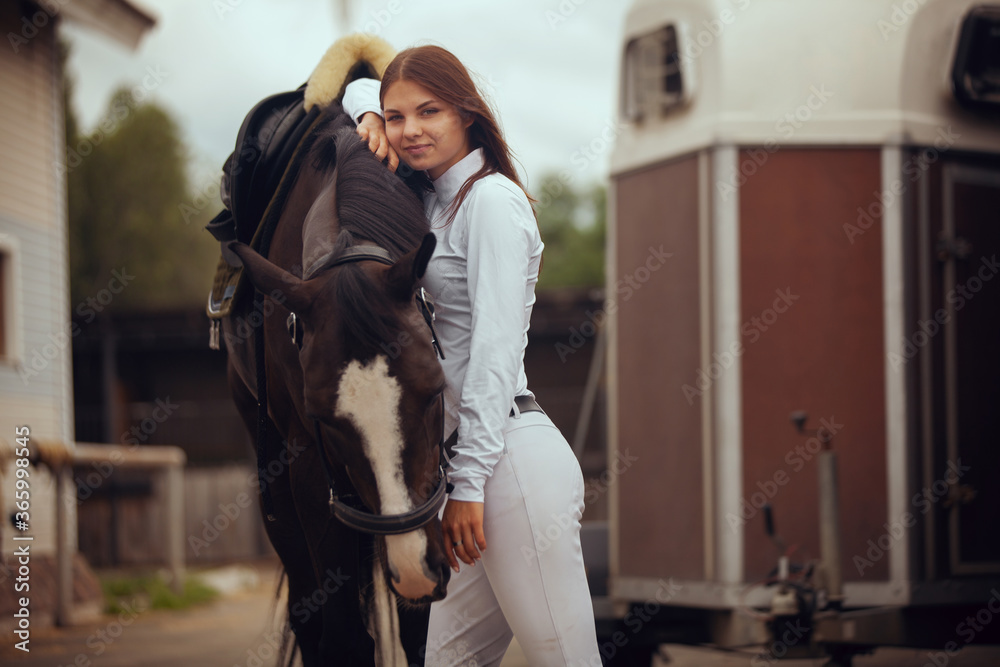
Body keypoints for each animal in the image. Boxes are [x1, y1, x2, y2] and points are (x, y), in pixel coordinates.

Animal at [225, 107, 452, 664]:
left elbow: (418, 635)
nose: (414, 570)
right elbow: (343, 637)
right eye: (325, 419)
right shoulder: (309, 467)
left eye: (435, 391)